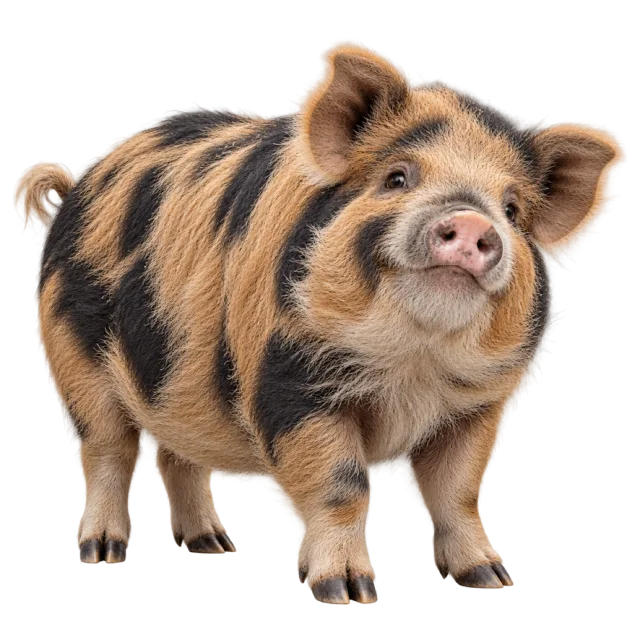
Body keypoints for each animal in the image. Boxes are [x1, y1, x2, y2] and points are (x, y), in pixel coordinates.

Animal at [13, 38, 625, 603]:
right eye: (397, 178)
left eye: (513, 209)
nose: (475, 221)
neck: (411, 361)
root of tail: (75, 190)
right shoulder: (291, 381)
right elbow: (342, 484)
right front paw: (347, 592)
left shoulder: (475, 406)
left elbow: (460, 491)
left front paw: (490, 580)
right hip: (74, 355)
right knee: (107, 449)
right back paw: (102, 553)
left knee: (175, 454)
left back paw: (215, 545)